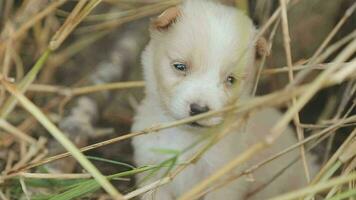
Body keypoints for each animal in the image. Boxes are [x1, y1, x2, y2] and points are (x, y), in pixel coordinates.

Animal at [131, 0, 318, 199]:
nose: (198, 109)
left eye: (231, 80)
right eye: (180, 66)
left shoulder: (223, 182)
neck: (186, 136)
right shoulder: (152, 175)